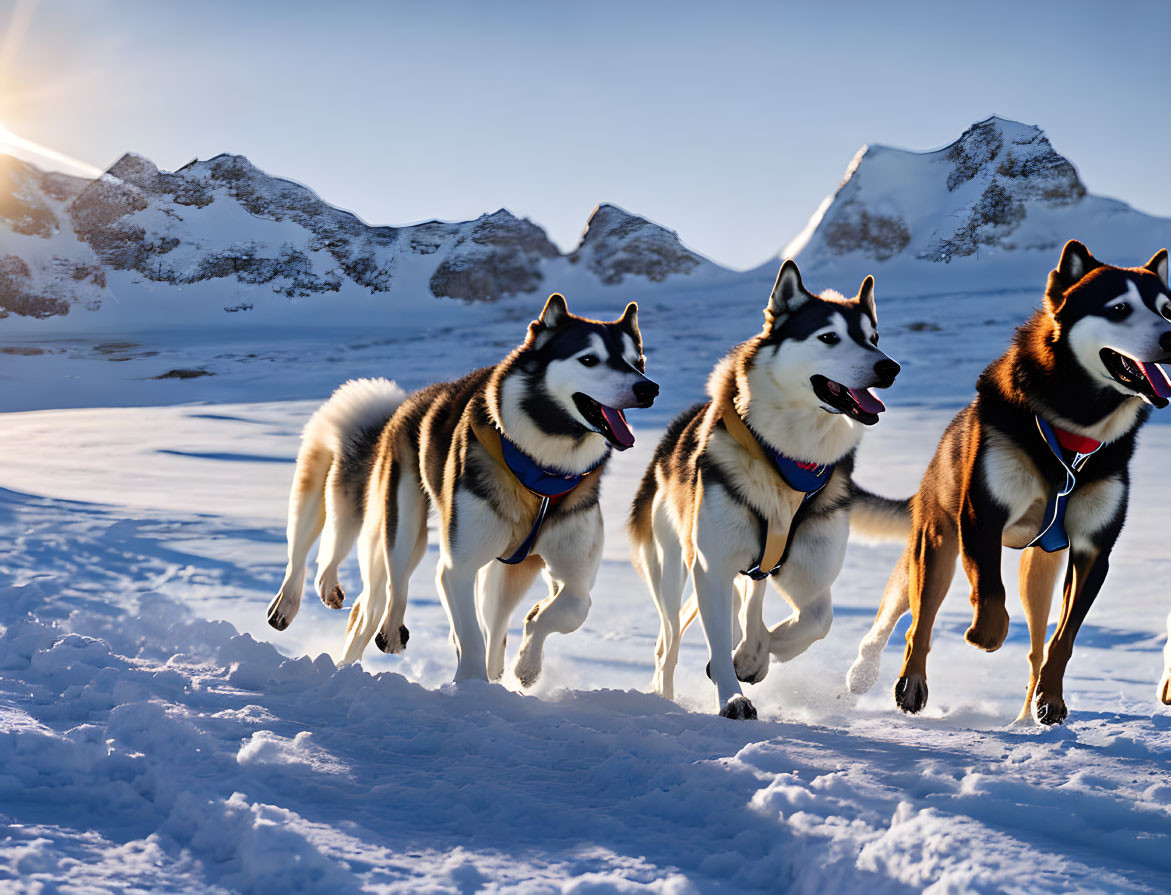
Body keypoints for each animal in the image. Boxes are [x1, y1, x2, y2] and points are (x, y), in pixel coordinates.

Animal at [271, 294, 660, 684]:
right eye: (589, 359)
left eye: (638, 361)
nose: (649, 388)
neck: (540, 470)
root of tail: (411, 401)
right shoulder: (456, 568)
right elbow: (469, 634)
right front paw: (472, 684)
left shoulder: (573, 573)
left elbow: (572, 607)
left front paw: (527, 662)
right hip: (403, 527)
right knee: (385, 593)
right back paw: (377, 637)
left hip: (504, 574)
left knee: (494, 624)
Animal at [632, 260, 894, 721]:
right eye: (829, 337)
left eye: (874, 339)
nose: (890, 367)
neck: (789, 459)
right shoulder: (711, 565)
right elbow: (719, 640)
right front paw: (732, 695)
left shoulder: (811, 575)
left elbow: (815, 622)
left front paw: (753, 658)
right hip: (670, 567)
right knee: (669, 639)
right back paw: (665, 693)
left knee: (751, 595)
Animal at [847, 241, 1166, 721]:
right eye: (1119, 308)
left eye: (1168, 309)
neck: (1073, 434)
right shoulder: (982, 514)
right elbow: (989, 592)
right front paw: (985, 634)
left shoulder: (1093, 549)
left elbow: (1064, 638)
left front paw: (1051, 698)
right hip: (934, 547)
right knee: (915, 622)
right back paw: (896, 681)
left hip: (1039, 572)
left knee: (1036, 645)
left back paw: (1031, 709)